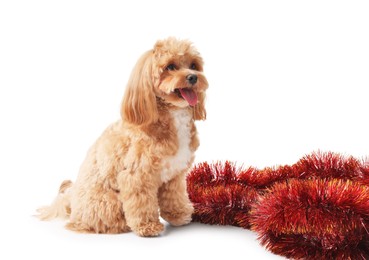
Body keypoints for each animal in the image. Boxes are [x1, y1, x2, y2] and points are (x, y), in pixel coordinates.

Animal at [39, 37, 210, 237]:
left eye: (193, 65)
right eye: (170, 66)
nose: (193, 77)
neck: (172, 115)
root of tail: (71, 205)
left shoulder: (175, 175)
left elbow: (174, 196)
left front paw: (178, 214)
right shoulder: (137, 176)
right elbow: (141, 203)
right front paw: (147, 226)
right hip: (108, 202)